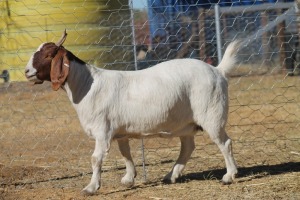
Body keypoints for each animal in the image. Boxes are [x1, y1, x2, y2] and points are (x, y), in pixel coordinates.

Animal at [24, 30, 240, 195]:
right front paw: (129, 178)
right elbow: (125, 153)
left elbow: (96, 158)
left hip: (212, 115)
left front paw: (91, 187)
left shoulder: (102, 131)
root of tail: (218, 71)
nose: (26, 72)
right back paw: (171, 175)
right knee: (187, 147)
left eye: (48, 55)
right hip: (185, 123)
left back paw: (229, 176)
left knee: (225, 143)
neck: (87, 85)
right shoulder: (120, 131)